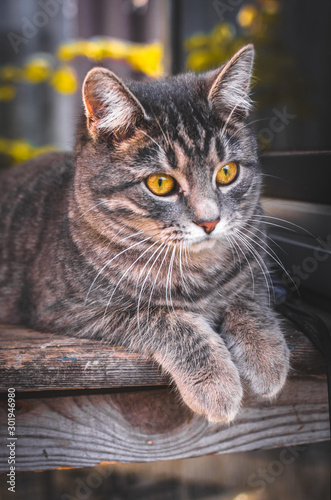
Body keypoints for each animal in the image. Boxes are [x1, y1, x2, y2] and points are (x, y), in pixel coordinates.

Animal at [0, 45, 290, 424]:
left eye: (227, 172)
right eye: (161, 183)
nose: (210, 221)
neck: (197, 271)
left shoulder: (254, 266)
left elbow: (249, 298)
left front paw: (267, 355)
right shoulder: (72, 308)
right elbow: (166, 319)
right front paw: (216, 384)